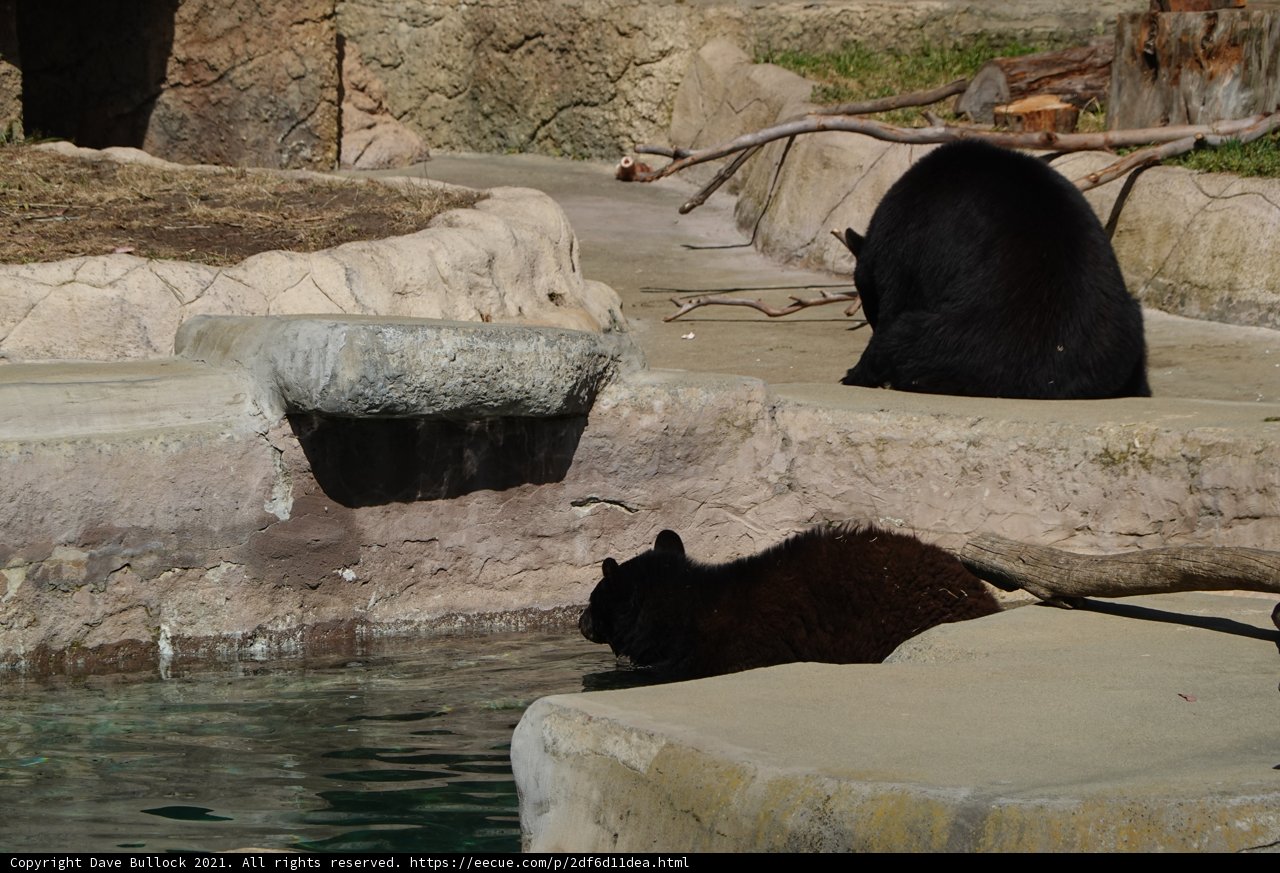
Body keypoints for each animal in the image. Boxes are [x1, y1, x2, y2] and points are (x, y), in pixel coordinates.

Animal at [840, 139, 1150, 399]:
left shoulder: (906, 241)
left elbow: (895, 304)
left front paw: (856, 373)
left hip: (960, 345)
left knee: (904, 338)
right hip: (1126, 330)